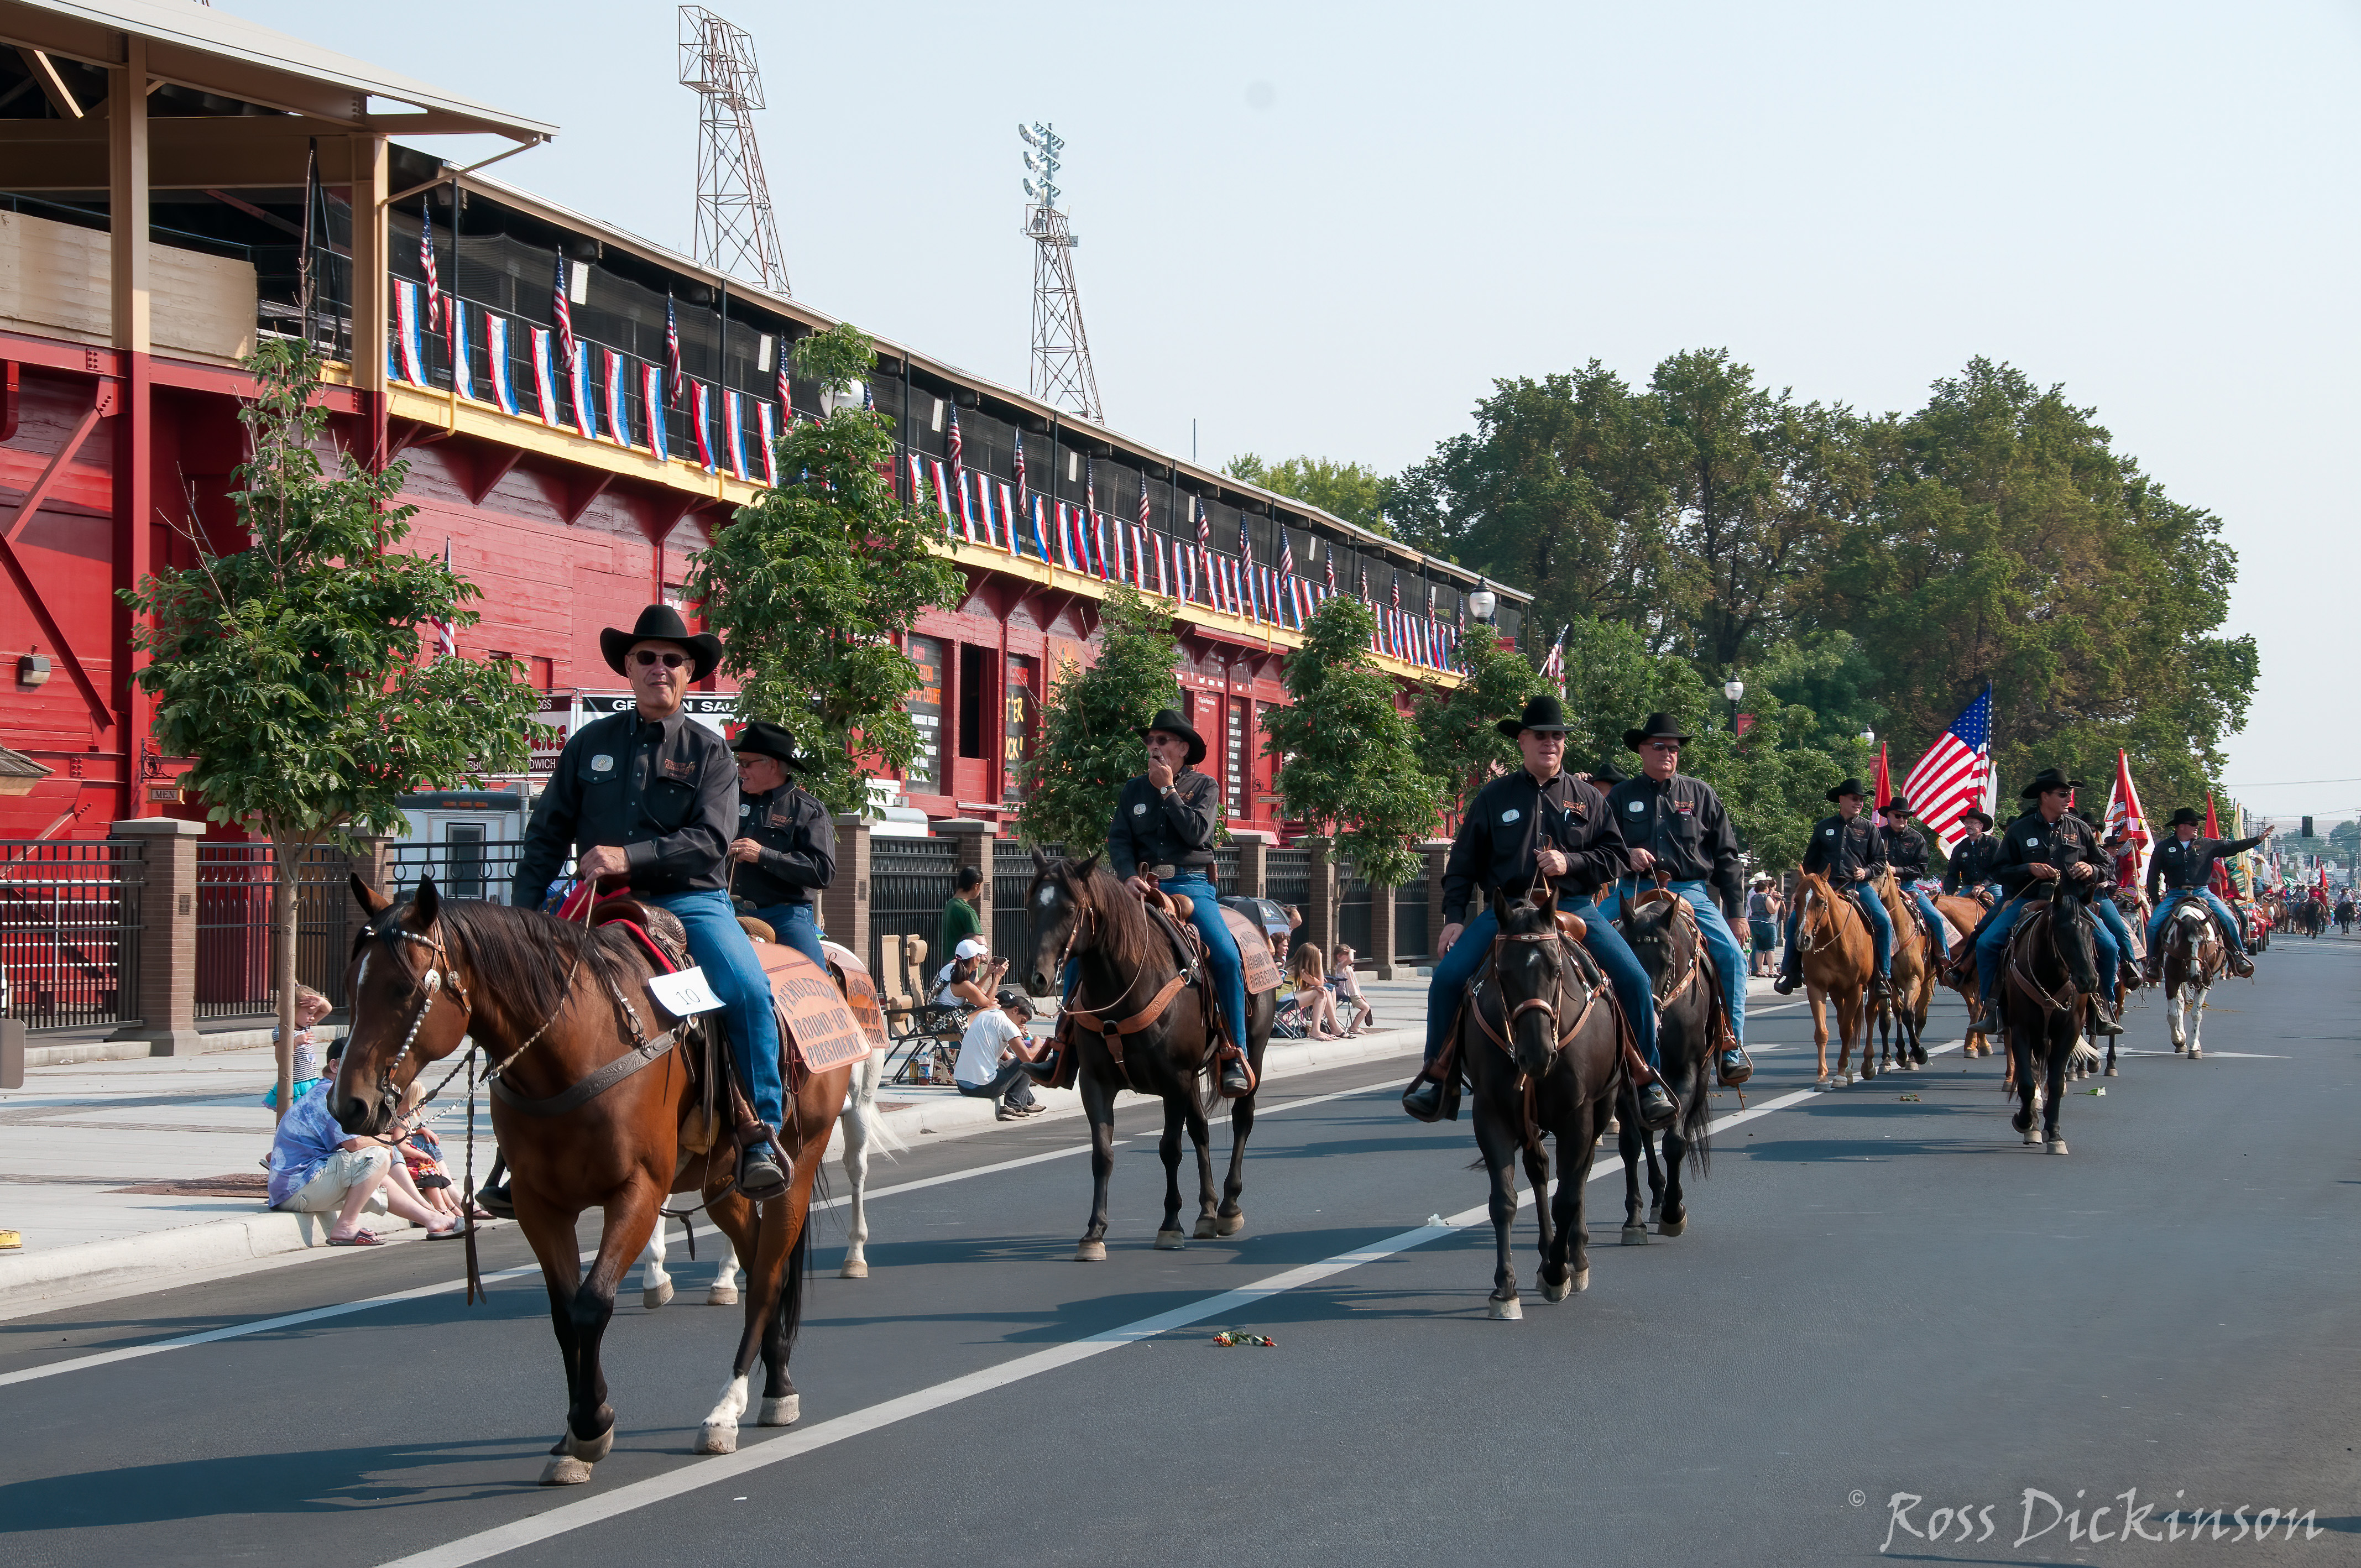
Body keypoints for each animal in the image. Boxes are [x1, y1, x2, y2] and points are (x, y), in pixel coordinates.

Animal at [333, 883, 850, 1483]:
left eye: (404, 987)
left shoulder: (638, 1193)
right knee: (761, 1263)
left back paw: (728, 1410)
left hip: (799, 1163)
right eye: (351, 983)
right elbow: (564, 1315)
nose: (349, 1105)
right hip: (722, 1181)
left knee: (767, 1277)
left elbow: (592, 1304)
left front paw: (590, 1425)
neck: (573, 1045)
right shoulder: (539, 1204)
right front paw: (575, 1434)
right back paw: (776, 1382)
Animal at [1020, 850, 1274, 1256]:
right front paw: (1094, 1233)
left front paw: (1170, 1225)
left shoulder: (1174, 1081)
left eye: (1070, 908)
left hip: (1255, 1056)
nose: (1036, 978)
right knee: (1201, 1131)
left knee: (1242, 1120)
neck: (1125, 987)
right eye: (1032, 905)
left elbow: (1170, 1148)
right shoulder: (1097, 1083)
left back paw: (1229, 1206)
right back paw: (1207, 1212)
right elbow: (1102, 1155)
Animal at [1454, 887, 1624, 1313]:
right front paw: (1505, 1288)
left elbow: (1568, 1196)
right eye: (1502, 972)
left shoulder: (1578, 1115)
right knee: (1540, 1170)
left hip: (1601, 1108)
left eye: (1557, 969)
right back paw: (1548, 1251)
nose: (1537, 1054)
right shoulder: (1491, 1113)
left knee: (1578, 1177)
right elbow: (1504, 1199)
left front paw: (1558, 1273)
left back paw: (1573, 1257)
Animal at [1605, 883, 1718, 1237]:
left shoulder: (1687, 1072)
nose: (1647, 1016)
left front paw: (1673, 1209)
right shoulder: (1626, 1084)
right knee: (1645, 1130)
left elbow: (1675, 1142)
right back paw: (1655, 1195)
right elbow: (1630, 1144)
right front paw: (1635, 1217)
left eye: (1668, 961)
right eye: (1623, 957)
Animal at [1794, 869, 1869, 1091]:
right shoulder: (1816, 987)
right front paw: (1822, 1077)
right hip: (1837, 993)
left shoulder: (1856, 988)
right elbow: (1822, 1032)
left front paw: (1841, 1074)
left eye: (1820, 901)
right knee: (1843, 1017)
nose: (1803, 939)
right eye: (1796, 900)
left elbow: (1846, 1030)